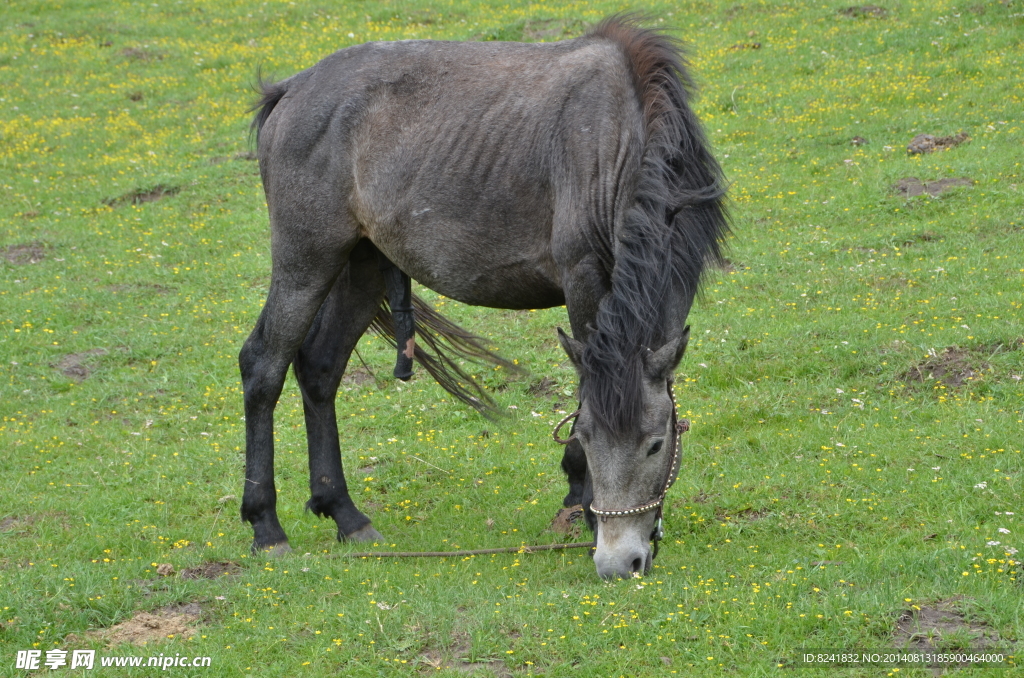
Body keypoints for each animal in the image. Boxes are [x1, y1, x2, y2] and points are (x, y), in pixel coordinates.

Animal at [239, 15, 728, 579]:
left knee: (320, 369)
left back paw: (345, 514)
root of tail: (292, 89)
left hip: (360, 264)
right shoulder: (583, 277)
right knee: (263, 366)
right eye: (587, 438)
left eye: (655, 445)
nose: (618, 562)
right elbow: (587, 389)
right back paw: (266, 527)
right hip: (306, 262)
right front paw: (581, 505)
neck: (617, 137)